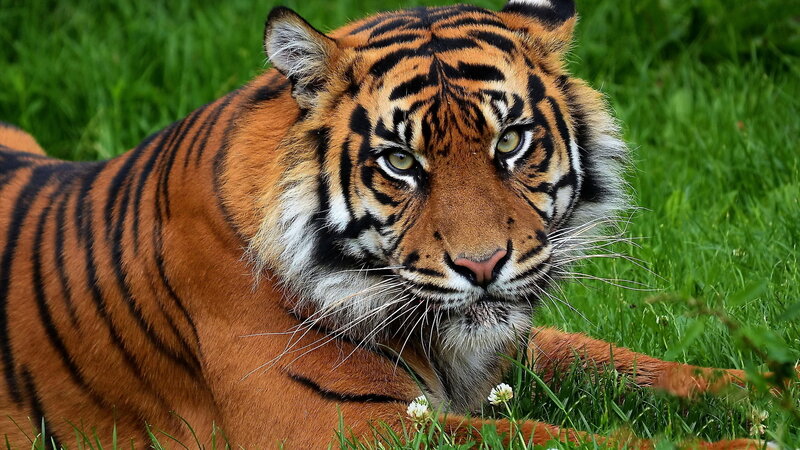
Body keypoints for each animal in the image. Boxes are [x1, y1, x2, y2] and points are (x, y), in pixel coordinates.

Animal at [0, 0, 789, 448]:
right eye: (401, 162)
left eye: (511, 141)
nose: (482, 266)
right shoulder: (333, 422)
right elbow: (562, 438)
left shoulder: (505, 350)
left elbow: (641, 366)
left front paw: (780, 392)